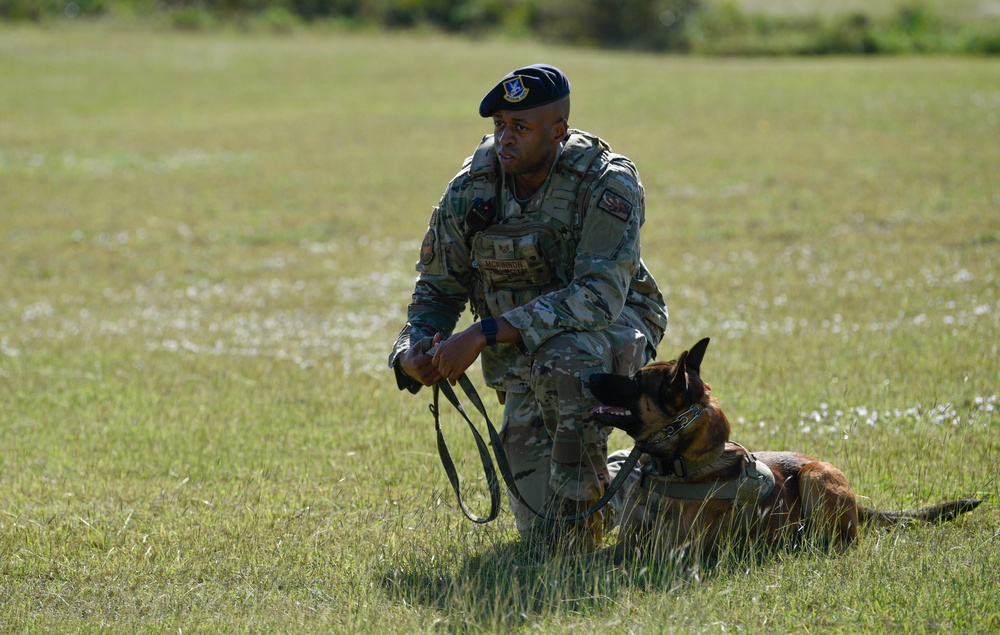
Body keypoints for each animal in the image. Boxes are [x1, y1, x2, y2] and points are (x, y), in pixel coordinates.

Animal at [584, 338, 984, 560]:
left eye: (635, 380)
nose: (590, 376)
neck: (680, 466)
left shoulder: (664, 554)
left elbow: (601, 564)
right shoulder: (632, 543)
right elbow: (593, 558)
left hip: (816, 477)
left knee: (841, 541)